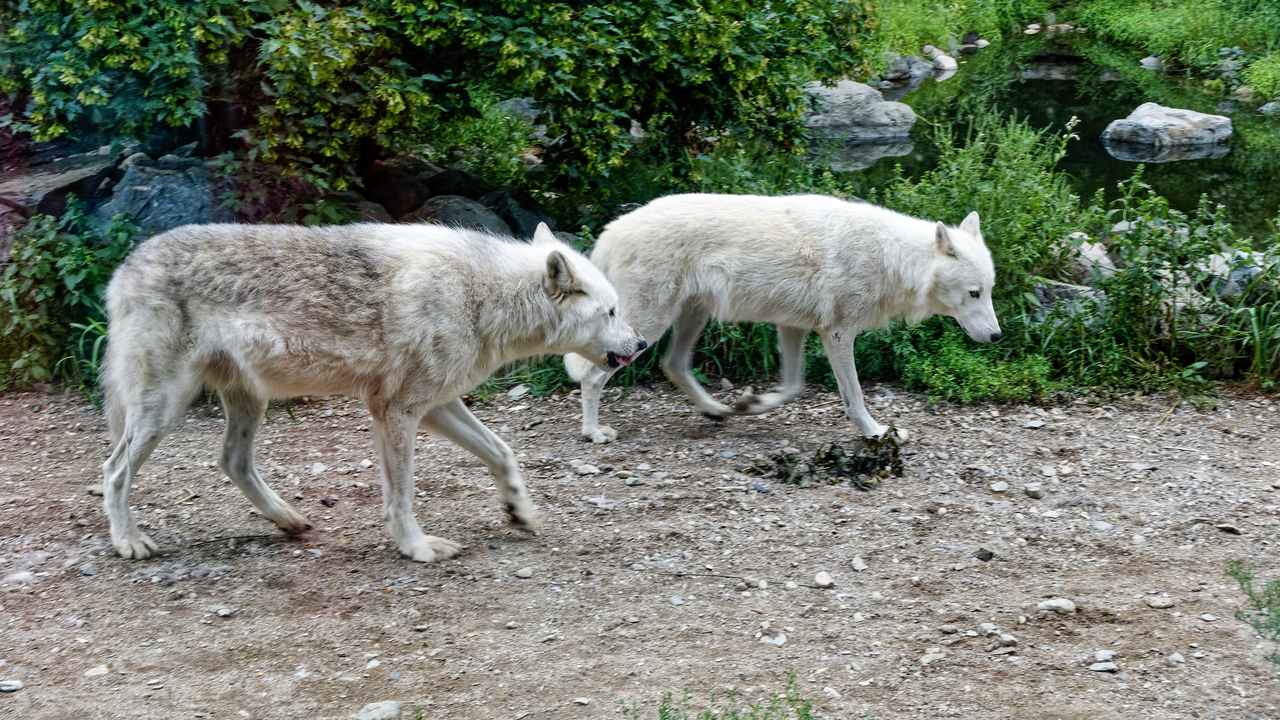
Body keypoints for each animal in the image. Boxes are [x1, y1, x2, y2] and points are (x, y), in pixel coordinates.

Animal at [101, 222, 644, 562]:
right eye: (612, 312)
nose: (641, 344)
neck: (482, 295)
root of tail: (124, 266)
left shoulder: (437, 405)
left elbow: (504, 453)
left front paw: (520, 512)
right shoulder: (396, 410)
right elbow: (401, 494)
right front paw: (417, 548)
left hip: (247, 402)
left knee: (231, 460)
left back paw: (289, 520)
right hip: (163, 410)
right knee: (113, 470)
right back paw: (128, 541)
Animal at [564, 193, 1000, 443]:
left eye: (989, 290)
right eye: (974, 293)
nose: (997, 337)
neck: (891, 258)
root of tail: (610, 231)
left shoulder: (794, 327)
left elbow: (793, 388)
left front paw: (752, 404)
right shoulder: (838, 334)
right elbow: (855, 397)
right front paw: (876, 433)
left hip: (692, 317)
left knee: (674, 364)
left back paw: (716, 410)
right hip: (644, 330)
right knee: (593, 377)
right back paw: (593, 433)